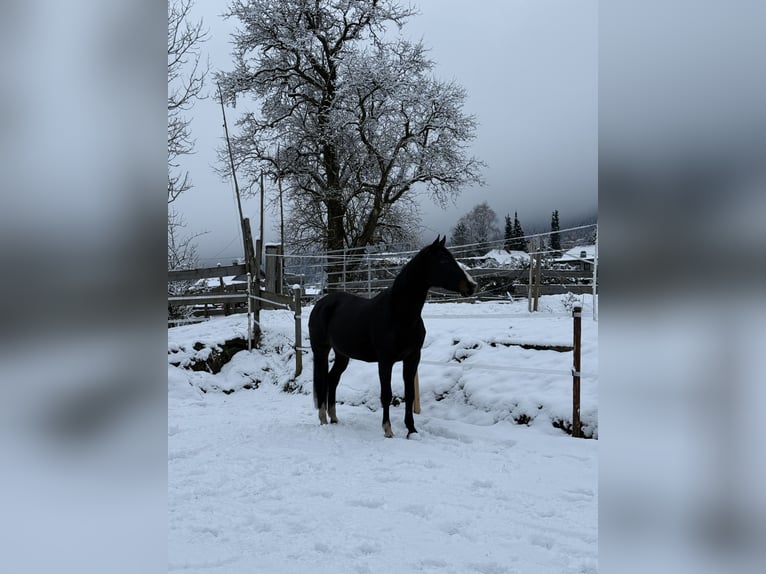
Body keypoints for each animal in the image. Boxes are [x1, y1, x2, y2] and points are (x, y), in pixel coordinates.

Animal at [308, 236, 477, 438]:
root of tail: (321, 304)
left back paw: (333, 418)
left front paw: (411, 430)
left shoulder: (412, 358)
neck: (399, 314)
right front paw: (388, 430)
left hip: (342, 354)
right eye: (443, 260)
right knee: (322, 380)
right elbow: (386, 394)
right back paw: (323, 419)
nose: (472, 285)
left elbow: (410, 394)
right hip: (321, 350)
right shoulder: (385, 361)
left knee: (332, 379)